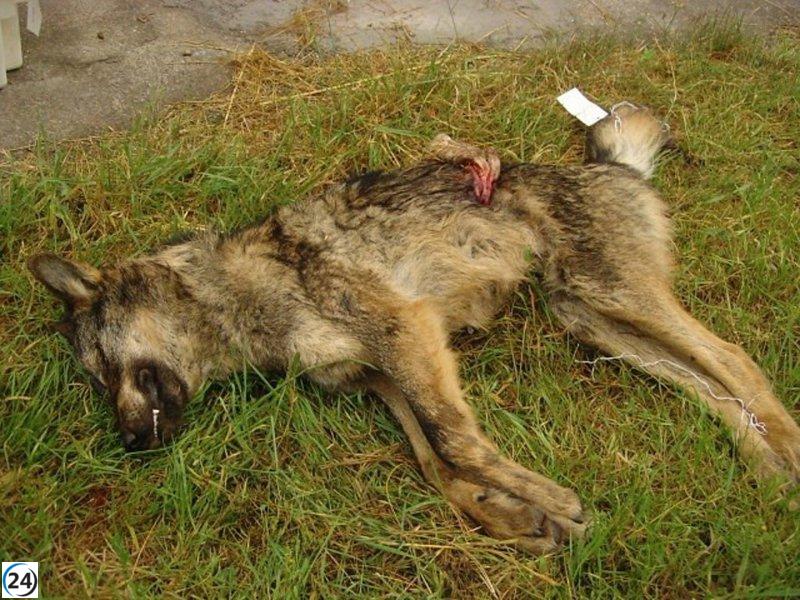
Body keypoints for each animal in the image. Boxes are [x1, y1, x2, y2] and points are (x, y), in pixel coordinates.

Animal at [28, 104, 800, 553]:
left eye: (103, 369)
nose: (129, 444)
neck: (239, 294)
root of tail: (609, 168)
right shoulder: (380, 379)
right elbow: (434, 465)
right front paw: (517, 517)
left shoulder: (409, 335)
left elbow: (455, 443)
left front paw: (546, 498)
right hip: (590, 319)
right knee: (709, 385)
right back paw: (763, 467)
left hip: (614, 294)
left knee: (736, 360)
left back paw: (787, 453)